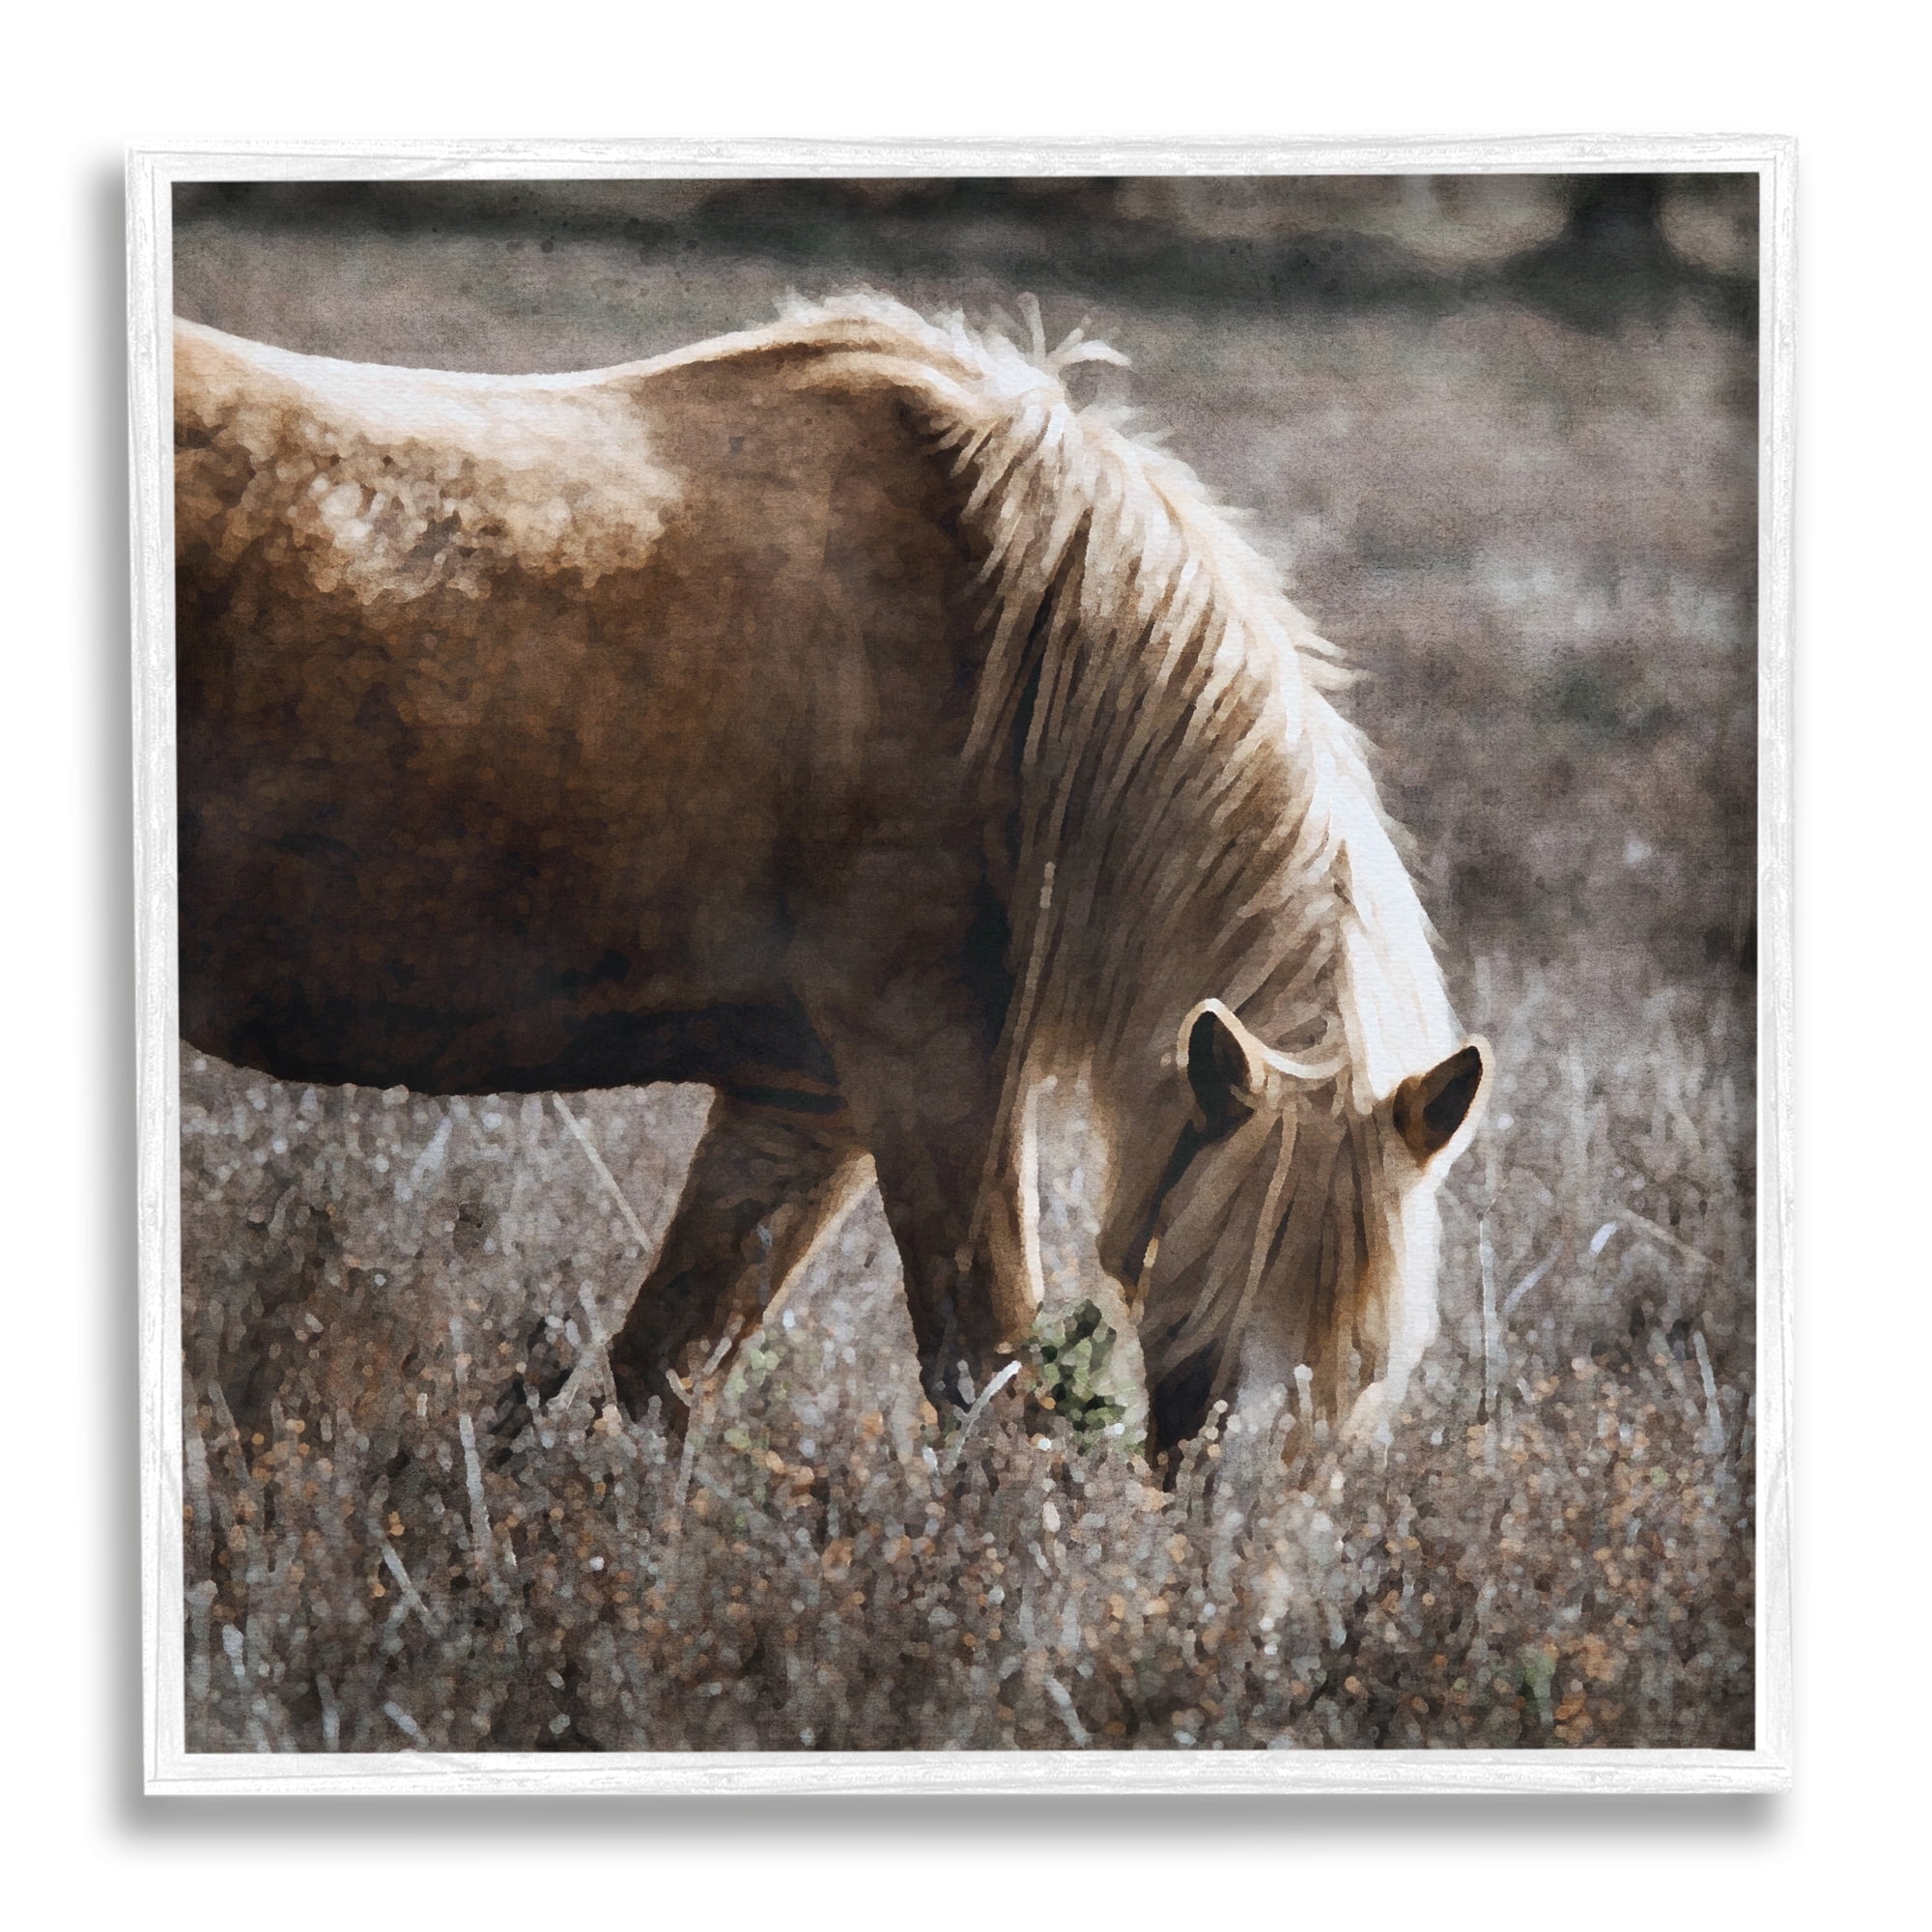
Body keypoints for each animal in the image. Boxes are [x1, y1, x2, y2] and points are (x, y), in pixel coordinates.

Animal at [173, 291, 1490, 1458]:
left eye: (1370, 1368)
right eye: (1220, 1327)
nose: (1236, 1573)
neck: (1010, 663)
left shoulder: (803, 1110)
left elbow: (662, 1376)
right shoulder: (929, 1081)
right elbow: (989, 1386)